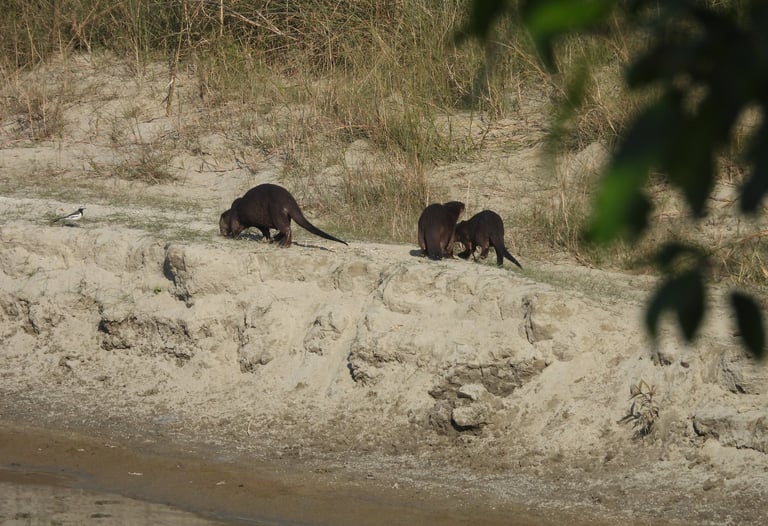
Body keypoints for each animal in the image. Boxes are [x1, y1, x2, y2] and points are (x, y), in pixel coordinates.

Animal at [219, 184, 348, 247]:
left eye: (220, 227)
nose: (222, 234)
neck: (231, 212)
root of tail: (289, 201)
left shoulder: (235, 218)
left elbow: (235, 229)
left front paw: (231, 236)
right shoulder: (261, 223)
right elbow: (266, 231)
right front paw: (266, 239)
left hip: (276, 212)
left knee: (286, 229)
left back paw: (283, 245)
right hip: (283, 216)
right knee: (285, 229)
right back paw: (275, 240)